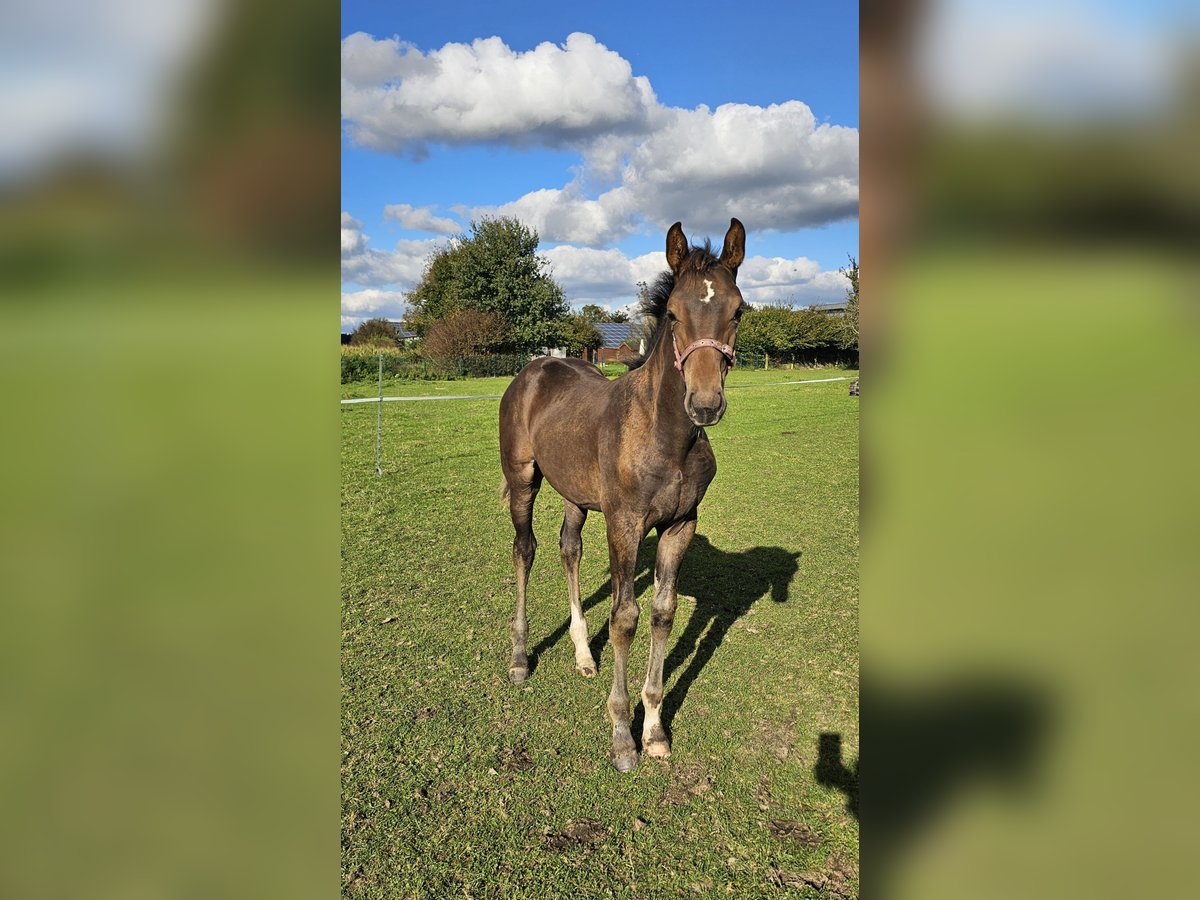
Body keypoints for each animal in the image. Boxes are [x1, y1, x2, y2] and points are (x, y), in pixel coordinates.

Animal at [494, 220, 739, 777]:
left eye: (738, 310)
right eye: (673, 314)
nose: (705, 405)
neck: (667, 436)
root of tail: (534, 367)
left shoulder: (680, 524)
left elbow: (663, 612)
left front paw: (654, 731)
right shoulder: (624, 523)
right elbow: (625, 617)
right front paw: (623, 737)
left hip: (575, 493)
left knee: (569, 548)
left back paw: (584, 655)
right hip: (523, 478)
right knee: (524, 550)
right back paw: (519, 658)